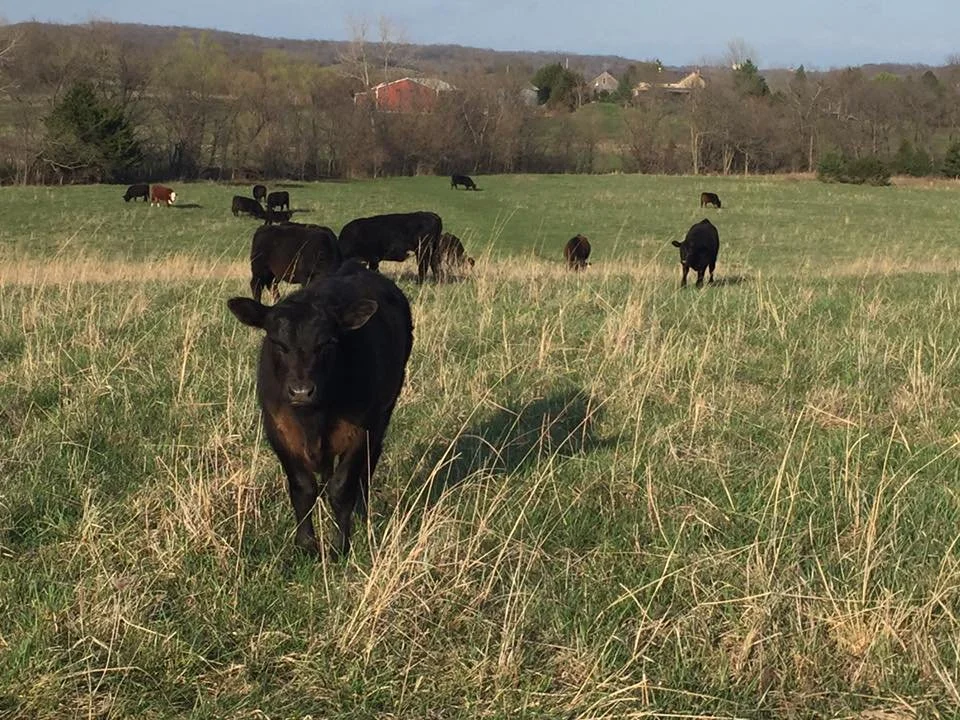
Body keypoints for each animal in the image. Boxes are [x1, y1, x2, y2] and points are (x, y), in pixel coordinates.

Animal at [226, 261, 414, 558]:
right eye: (277, 343)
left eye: (327, 342)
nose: (301, 391)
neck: (313, 418)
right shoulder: (278, 430)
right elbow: (302, 488)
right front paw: (305, 543)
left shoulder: (361, 429)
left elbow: (342, 487)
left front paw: (341, 545)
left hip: (384, 412)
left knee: (368, 465)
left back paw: (362, 511)